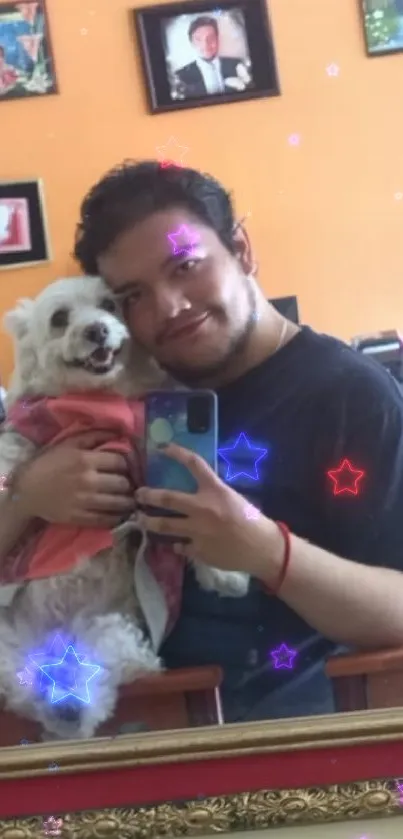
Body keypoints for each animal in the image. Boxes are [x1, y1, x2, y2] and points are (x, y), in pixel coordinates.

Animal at [0, 276, 249, 740]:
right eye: (60, 318)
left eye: (109, 304)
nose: (97, 329)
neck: (99, 402)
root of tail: (50, 644)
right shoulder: (30, 430)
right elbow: (10, 448)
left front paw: (224, 569)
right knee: (18, 684)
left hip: (109, 628)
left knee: (106, 663)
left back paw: (73, 699)